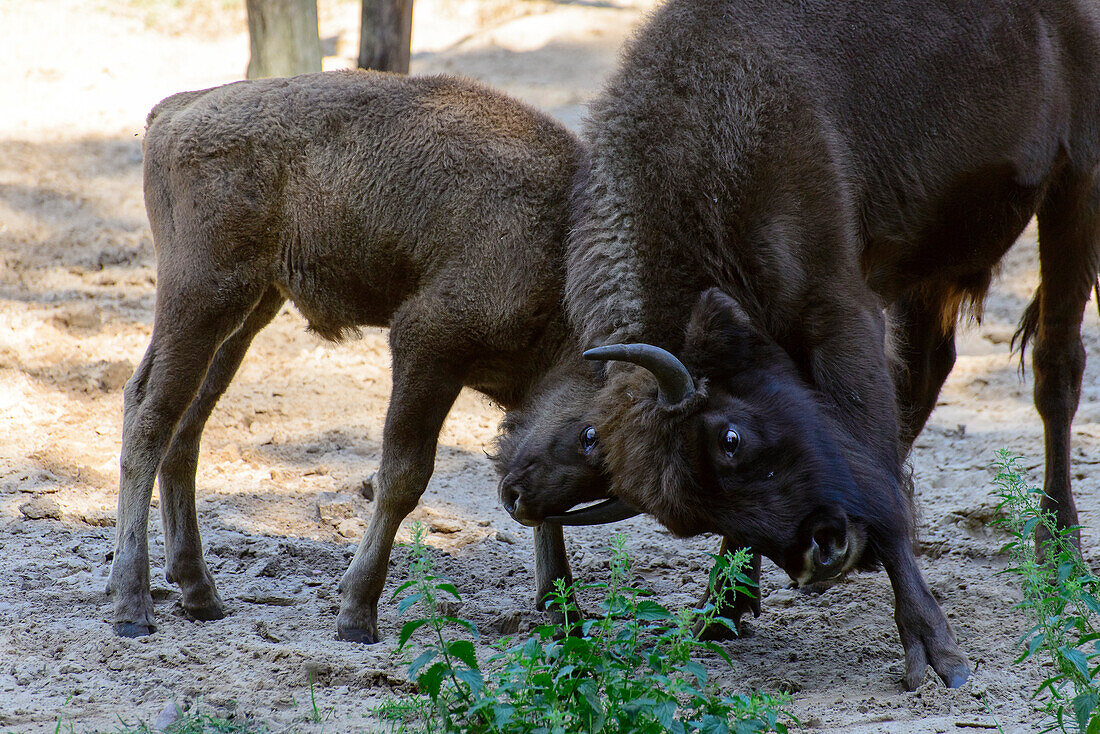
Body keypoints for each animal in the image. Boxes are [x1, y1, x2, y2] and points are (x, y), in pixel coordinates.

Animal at [499, 0, 1100, 695]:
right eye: (691, 518)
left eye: (731, 438)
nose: (824, 551)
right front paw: (721, 609)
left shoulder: (839, 313)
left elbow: (873, 452)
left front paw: (935, 651)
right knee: (931, 371)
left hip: (1075, 183)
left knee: (1056, 369)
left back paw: (1061, 555)